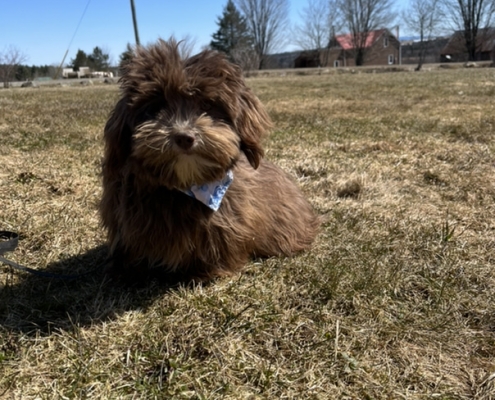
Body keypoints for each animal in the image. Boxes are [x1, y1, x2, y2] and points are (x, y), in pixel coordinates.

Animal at [100, 39, 322, 280]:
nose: (184, 137)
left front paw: (210, 271)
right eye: (156, 106)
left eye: (206, 105)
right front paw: (127, 268)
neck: (186, 186)